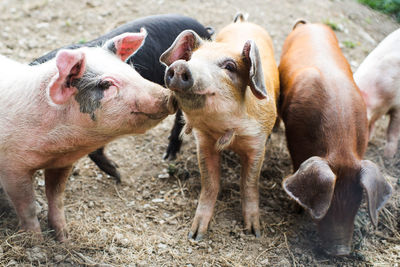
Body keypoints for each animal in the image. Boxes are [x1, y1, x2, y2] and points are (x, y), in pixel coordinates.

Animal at [0, 30, 175, 242]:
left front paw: (64, 238)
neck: (58, 148)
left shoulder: (63, 163)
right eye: (106, 84)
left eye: (132, 70)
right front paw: (36, 241)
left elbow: (56, 196)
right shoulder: (11, 167)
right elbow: (27, 207)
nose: (168, 95)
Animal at [159, 13, 278, 242]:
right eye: (191, 60)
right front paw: (195, 235)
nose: (180, 66)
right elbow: (210, 184)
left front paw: (254, 232)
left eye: (230, 67)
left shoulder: (257, 144)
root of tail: (243, 21)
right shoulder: (204, 142)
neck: (225, 131)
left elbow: (249, 185)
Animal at [280, 20, 392, 255]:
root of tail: (309, 24)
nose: (340, 251)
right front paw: (296, 210)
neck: (341, 149)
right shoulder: (293, 141)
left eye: (358, 201)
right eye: (328, 202)